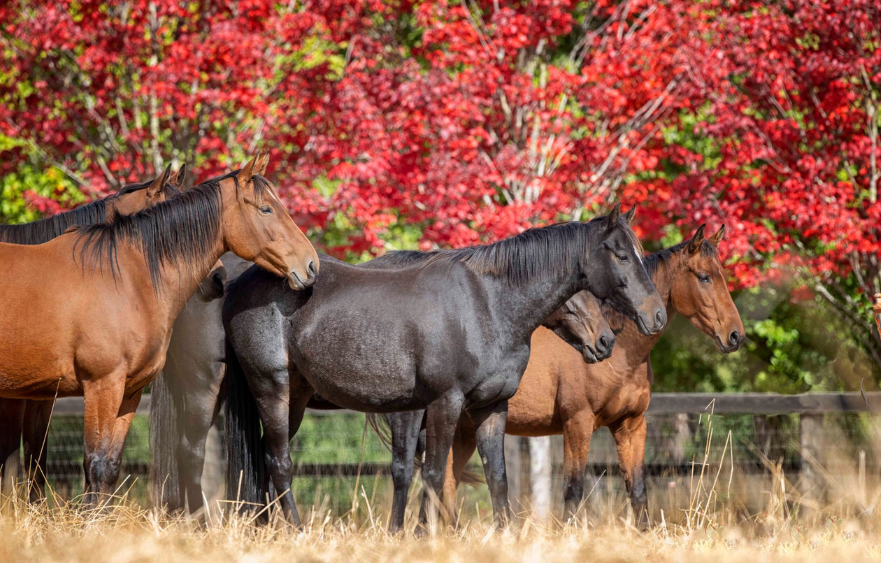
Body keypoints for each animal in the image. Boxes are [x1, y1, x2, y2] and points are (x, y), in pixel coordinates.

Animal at [223, 205, 666, 529]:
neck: (485, 306)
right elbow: (434, 475)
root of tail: (239, 284)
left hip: (296, 397)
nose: (656, 316)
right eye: (621, 255)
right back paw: (295, 531)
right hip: (272, 389)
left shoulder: (491, 407)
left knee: (266, 458)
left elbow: (497, 478)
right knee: (279, 462)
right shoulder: (442, 403)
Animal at [431, 225, 744, 528]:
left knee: (446, 484)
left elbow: (638, 492)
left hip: (463, 432)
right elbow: (573, 490)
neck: (621, 353)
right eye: (704, 277)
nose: (735, 335)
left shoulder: (631, 425)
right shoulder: (577, 424)